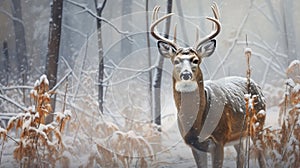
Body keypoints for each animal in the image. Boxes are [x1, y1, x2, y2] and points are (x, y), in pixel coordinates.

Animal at [151, 2, 266, 168]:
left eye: (195, 60)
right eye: (176, 61)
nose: (186, 74)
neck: (196, 126)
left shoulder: (219, 140)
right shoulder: (194, 145)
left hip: (258, 125)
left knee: (262, 156)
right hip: (238, 136)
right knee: (241, 156)